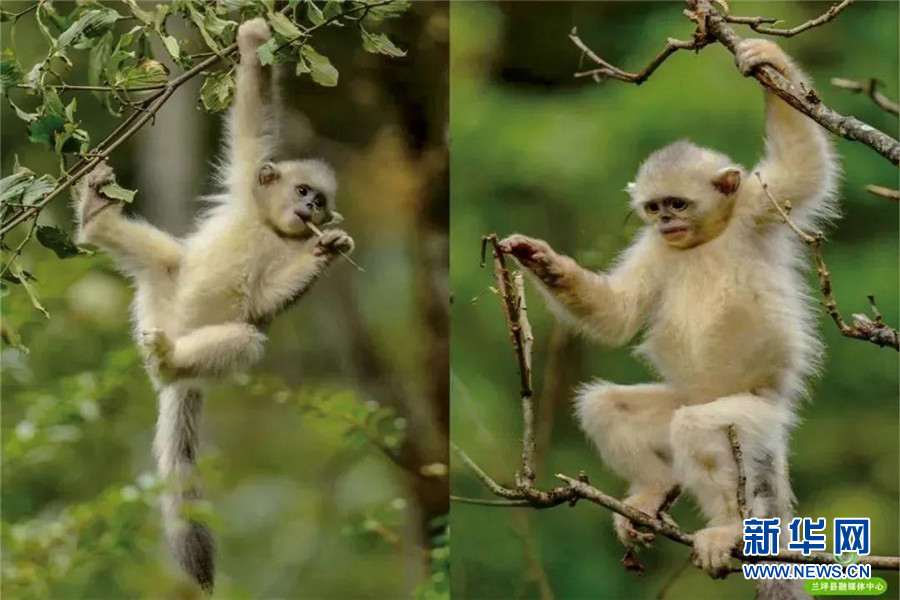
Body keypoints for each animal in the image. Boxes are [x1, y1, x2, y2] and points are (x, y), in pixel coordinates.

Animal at [74, 17, 356, 592]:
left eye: (320, 201)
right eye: (304, 191)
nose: (312, 210)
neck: (272, 228)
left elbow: (264, 303)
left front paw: (328, 250)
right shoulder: (248, 180)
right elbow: (251, 120)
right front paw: (254, 39)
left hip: (194, 340)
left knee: (244, 339)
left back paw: (170, 361)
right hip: (160, 297)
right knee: (165, 260)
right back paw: (96, 216)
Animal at [500, 38, 836, 592]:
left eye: (678, 204)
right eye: (655, 208)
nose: (666, 222)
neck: (704, 239)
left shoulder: (760, 207)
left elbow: (804, 166)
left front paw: (768, 58)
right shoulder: (654, 249)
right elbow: (617, 315)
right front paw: (540, 260)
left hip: (752, 416)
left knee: (696, 430)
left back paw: (729, 529)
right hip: (686, 403)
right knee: (607, 407)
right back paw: (652, 493)